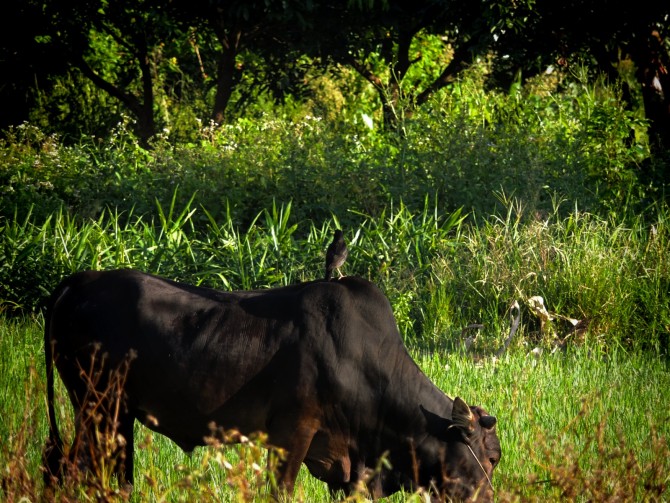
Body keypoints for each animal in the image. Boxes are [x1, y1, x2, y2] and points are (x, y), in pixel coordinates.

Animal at [42, 270, 502, 502]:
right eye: (492, 457)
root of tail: (80, 279)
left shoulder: (344, 465)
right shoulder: (292, 433)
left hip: (107, 413)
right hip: (100, 406)